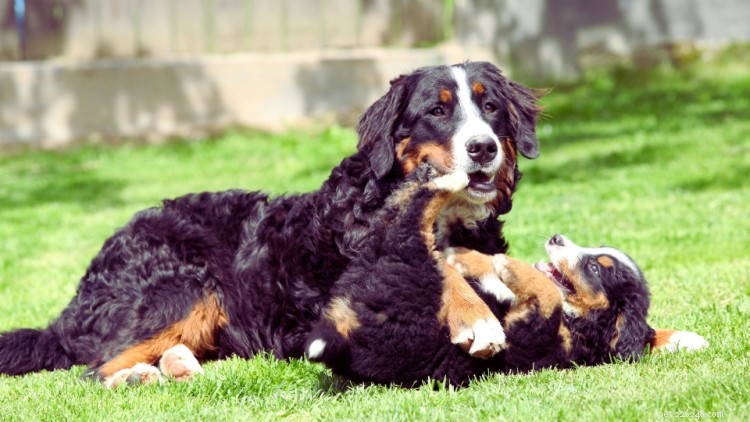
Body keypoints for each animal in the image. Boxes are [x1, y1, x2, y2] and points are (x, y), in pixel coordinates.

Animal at [0, 61, 544, 388]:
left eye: (490, 107)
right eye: (437, 110)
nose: (483, 148)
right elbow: (430, 265)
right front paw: (475, 316)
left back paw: (178, 364)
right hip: (186, 287)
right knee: (96, 369)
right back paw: (140, 375)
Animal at [304, 170, 712, 388]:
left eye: (596, 268)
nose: (556, 238)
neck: (582, 323)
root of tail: (345, 337)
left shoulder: (535, 332)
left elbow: (547, 293)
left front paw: (509, 268)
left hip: (407, 279)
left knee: (406, 229)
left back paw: (444, 184)